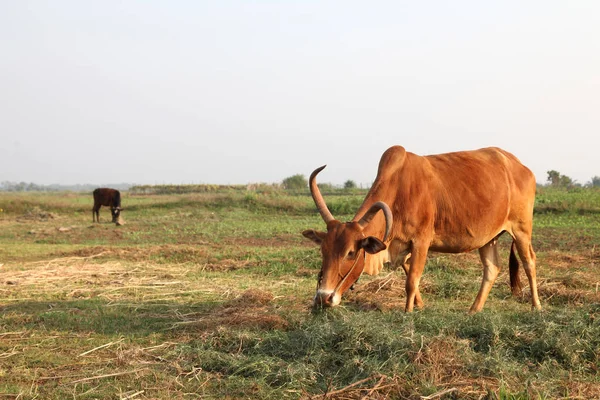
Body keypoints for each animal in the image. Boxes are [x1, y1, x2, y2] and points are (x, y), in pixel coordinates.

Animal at [302, 145, 540, 314]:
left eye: (351, 253)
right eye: (323, 251)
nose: (323, 297)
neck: (398, 189)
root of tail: (520, 166)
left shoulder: (421, 241)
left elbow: (411, 280)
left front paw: (408, 312)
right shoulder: (401, 245)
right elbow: (409, 272)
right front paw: (420, 306)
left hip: (521, 230)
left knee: (529, 262)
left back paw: (536, 306)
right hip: (488, 237)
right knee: (492, 268)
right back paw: (474, 310)